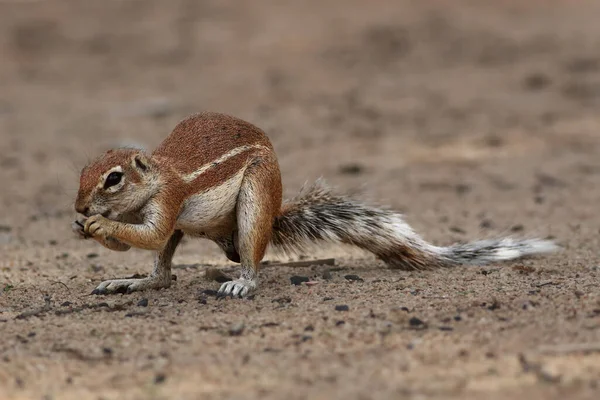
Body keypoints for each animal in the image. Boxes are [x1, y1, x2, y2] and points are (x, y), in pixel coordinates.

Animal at [74, 111, 556, 296]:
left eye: (113, 179)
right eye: (81, 172)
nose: (79, 210)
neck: (155, 176)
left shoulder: (169, 199)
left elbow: (152, 233)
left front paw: (101, 226)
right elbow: (143, 239)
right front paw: (89, 231)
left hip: (255, 200)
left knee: (250, 258)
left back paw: (242, 283)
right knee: (164, 274)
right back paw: (131, 282)